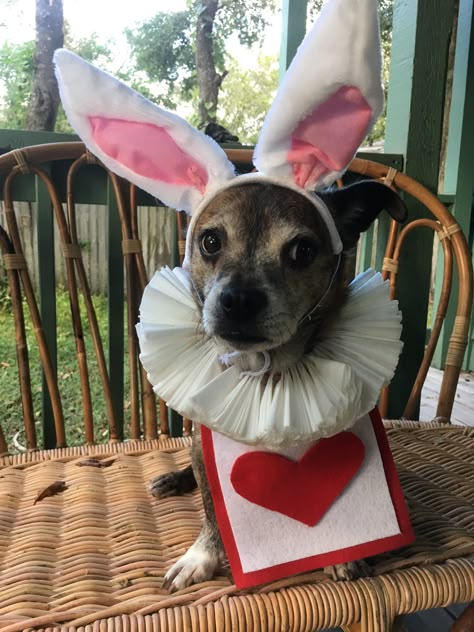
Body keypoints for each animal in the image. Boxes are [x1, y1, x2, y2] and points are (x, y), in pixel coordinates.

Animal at [149, 179, 408, 592]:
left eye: (303, 251)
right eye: (210, 242)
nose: (239, 299)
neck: (269, 369)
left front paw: (344, 555)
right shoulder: (207, 448)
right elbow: (211, 508)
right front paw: (201, 557)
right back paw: (174, 479)